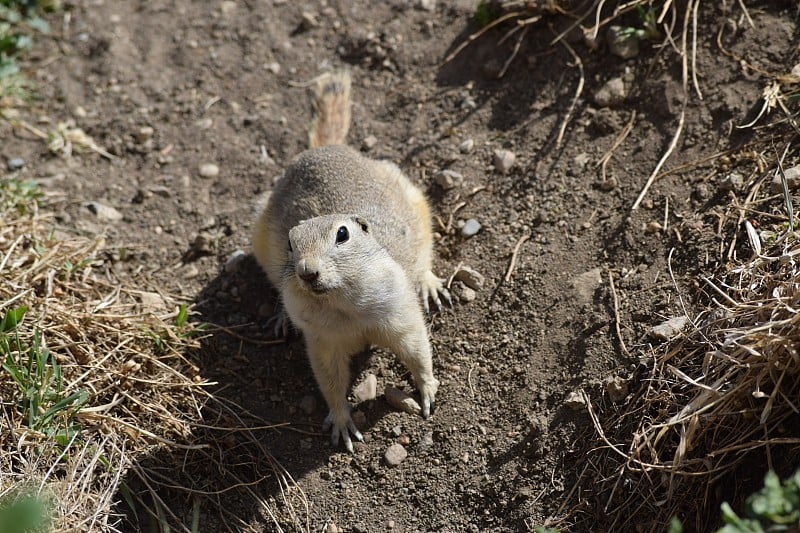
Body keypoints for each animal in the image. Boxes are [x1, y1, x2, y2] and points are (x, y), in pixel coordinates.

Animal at [252, 68, 450, 450]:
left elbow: (417, 349)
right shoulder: (321, 341)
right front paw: (342, 424)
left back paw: (430, 284)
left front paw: (428, 390)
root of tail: (325, 147)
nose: (306, 272)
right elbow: (329, 379)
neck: (343, 304)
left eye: (342, 234)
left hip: (415, 199)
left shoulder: (399, 312)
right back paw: (282, 319)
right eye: (290, 243)